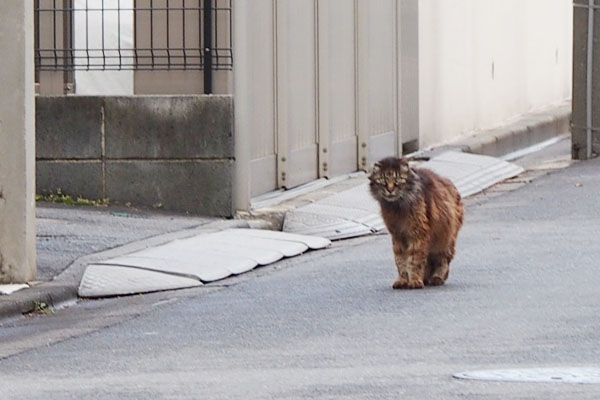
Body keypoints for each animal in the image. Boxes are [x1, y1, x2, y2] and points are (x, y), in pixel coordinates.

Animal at [370, 155, 464, 290]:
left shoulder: (417, 233)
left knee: (443, 260)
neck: (397, 207)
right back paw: (425, 278)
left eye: (399, 180)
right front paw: (403, 281)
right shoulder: (398, 236)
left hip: (445, 241)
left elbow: (414, 260)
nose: (390, 189)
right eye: (382, 181)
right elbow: (401, 261)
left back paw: (437, 278)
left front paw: (414, 281)